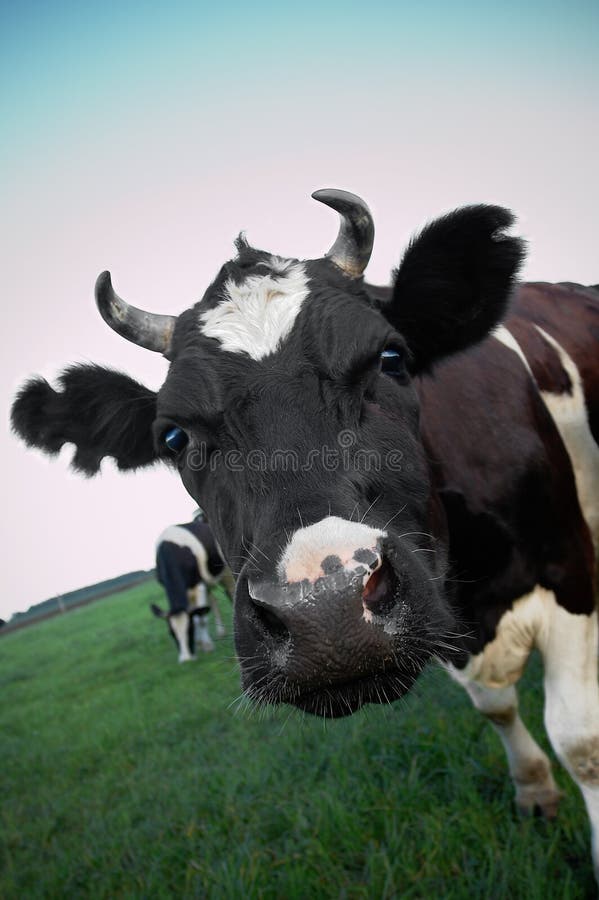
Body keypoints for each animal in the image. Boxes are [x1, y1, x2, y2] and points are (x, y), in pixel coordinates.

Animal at [151, 512, 235, 662]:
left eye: (189, 629)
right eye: (171, 633)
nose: (186, 660)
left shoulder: (198, 584)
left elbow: (199, 618)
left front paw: (206, 645)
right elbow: (197, 612)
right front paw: (199, 643)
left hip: (227, 573)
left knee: (231, 593)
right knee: (214, 602)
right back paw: (221, 632)